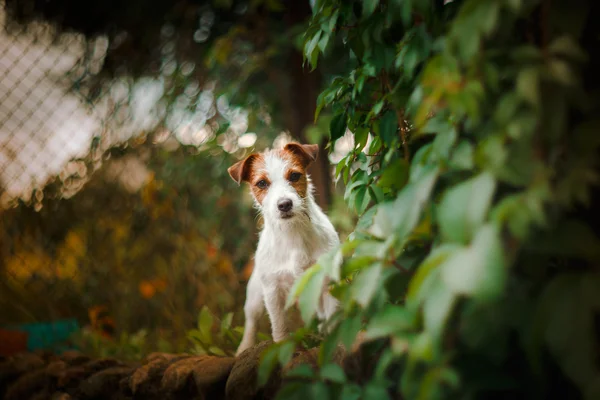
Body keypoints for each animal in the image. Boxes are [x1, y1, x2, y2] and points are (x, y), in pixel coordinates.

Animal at [229, 142, 340, 354]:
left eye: (294, 176)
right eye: (262, 183)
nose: (285, 204)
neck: (292, 233)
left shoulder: (326, 280)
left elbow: (334, 317)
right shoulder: (273, 291)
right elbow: (279, 326)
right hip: (255, 296)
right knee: (251, 323)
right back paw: (243, 348)